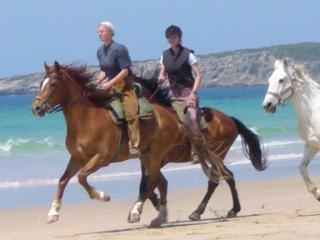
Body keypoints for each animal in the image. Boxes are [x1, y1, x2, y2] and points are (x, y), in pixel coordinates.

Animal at [31, 61, 268, 228]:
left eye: (53, 84)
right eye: (41, 83)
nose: (36, 108)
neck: (87, 118)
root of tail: (229, 118)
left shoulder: (102, 158)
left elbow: (83, 178)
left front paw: (103, 196)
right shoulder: (78, 158)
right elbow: (63, 180)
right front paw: (53, 213)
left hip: (198, 153)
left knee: (216, 178)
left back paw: (194, 211)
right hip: (156, 155)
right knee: (224, 176)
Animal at [262, 58, 320, 201]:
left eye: (281, 80)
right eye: (269, 80)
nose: (267, 105)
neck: (313, 112)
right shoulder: (311, 145)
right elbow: (302, 168)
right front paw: (317, 193)